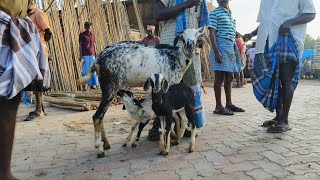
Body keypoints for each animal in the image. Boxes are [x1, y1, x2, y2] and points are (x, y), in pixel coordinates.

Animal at [79, 28, 206, 158]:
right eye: (183, 37)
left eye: (197, 35)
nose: (190, 47)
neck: (176, 57)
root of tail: (98, 59)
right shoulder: (169, 84)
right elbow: (173, 117)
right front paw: (171, 139)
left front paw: (174, 137)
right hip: (111, 85)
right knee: (97, 116)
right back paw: (99, 149)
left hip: (106, 87)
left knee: (101, 115)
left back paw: (106, 143)